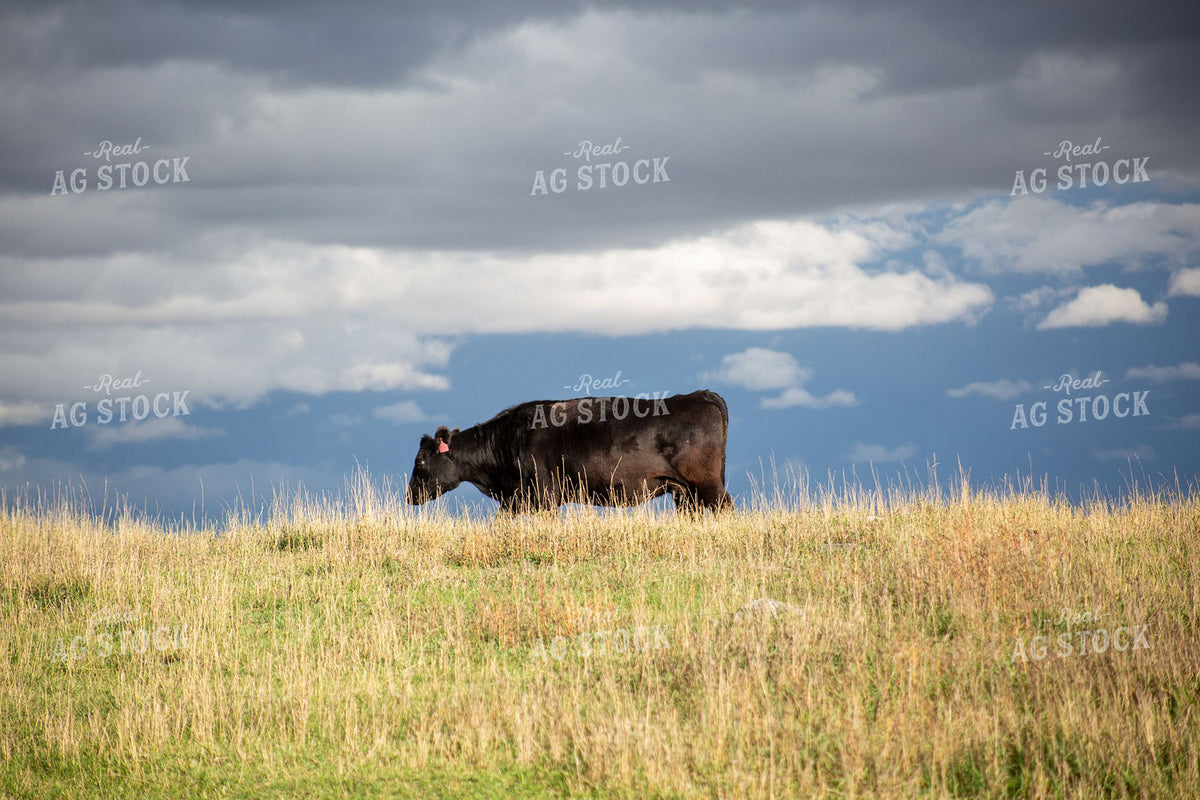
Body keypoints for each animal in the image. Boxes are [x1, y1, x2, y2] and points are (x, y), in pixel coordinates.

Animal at [405, 389, 732, 513]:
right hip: (685, 492)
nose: (409, 496)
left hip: (709, 485)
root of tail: (697, 394)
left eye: (419, 461)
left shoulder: (543, 495)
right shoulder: (517, 499)